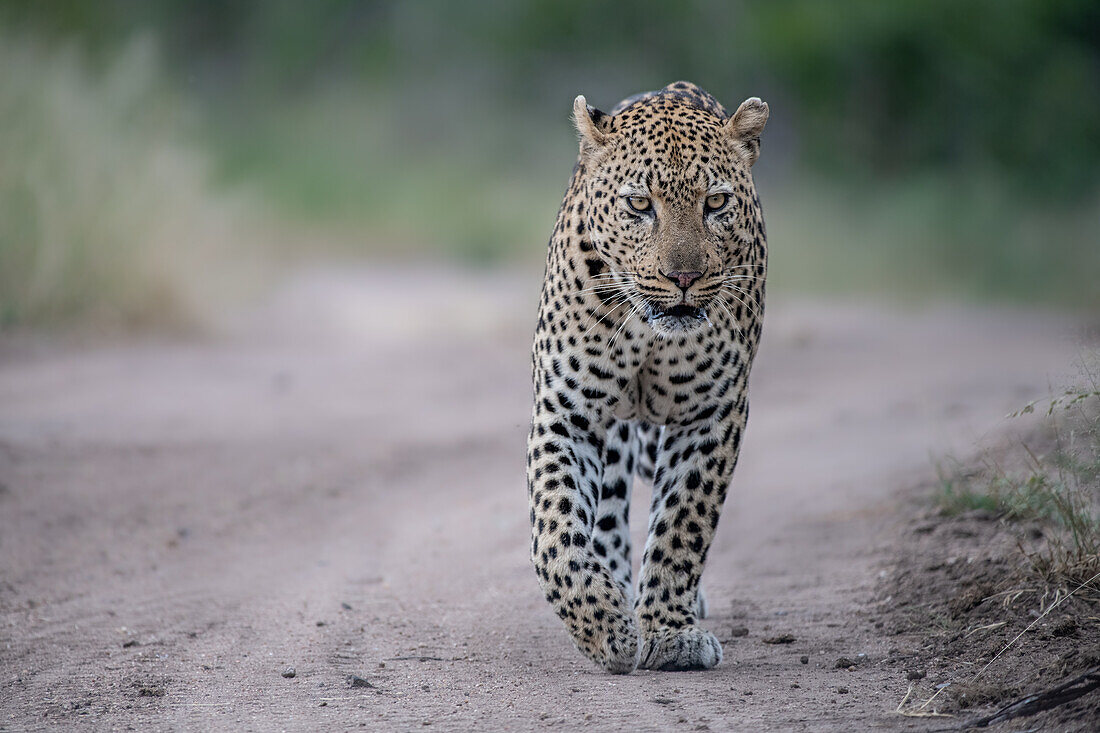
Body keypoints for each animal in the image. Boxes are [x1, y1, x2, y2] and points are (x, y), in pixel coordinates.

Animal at [521, 81, 765, 673]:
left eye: (715, 203)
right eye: (639, 204)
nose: (684, 277)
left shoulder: (711, 415)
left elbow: (682, 526)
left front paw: (671, 633)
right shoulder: (568, 411)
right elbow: (555, 532)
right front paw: (607, 629)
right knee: (606, 515)